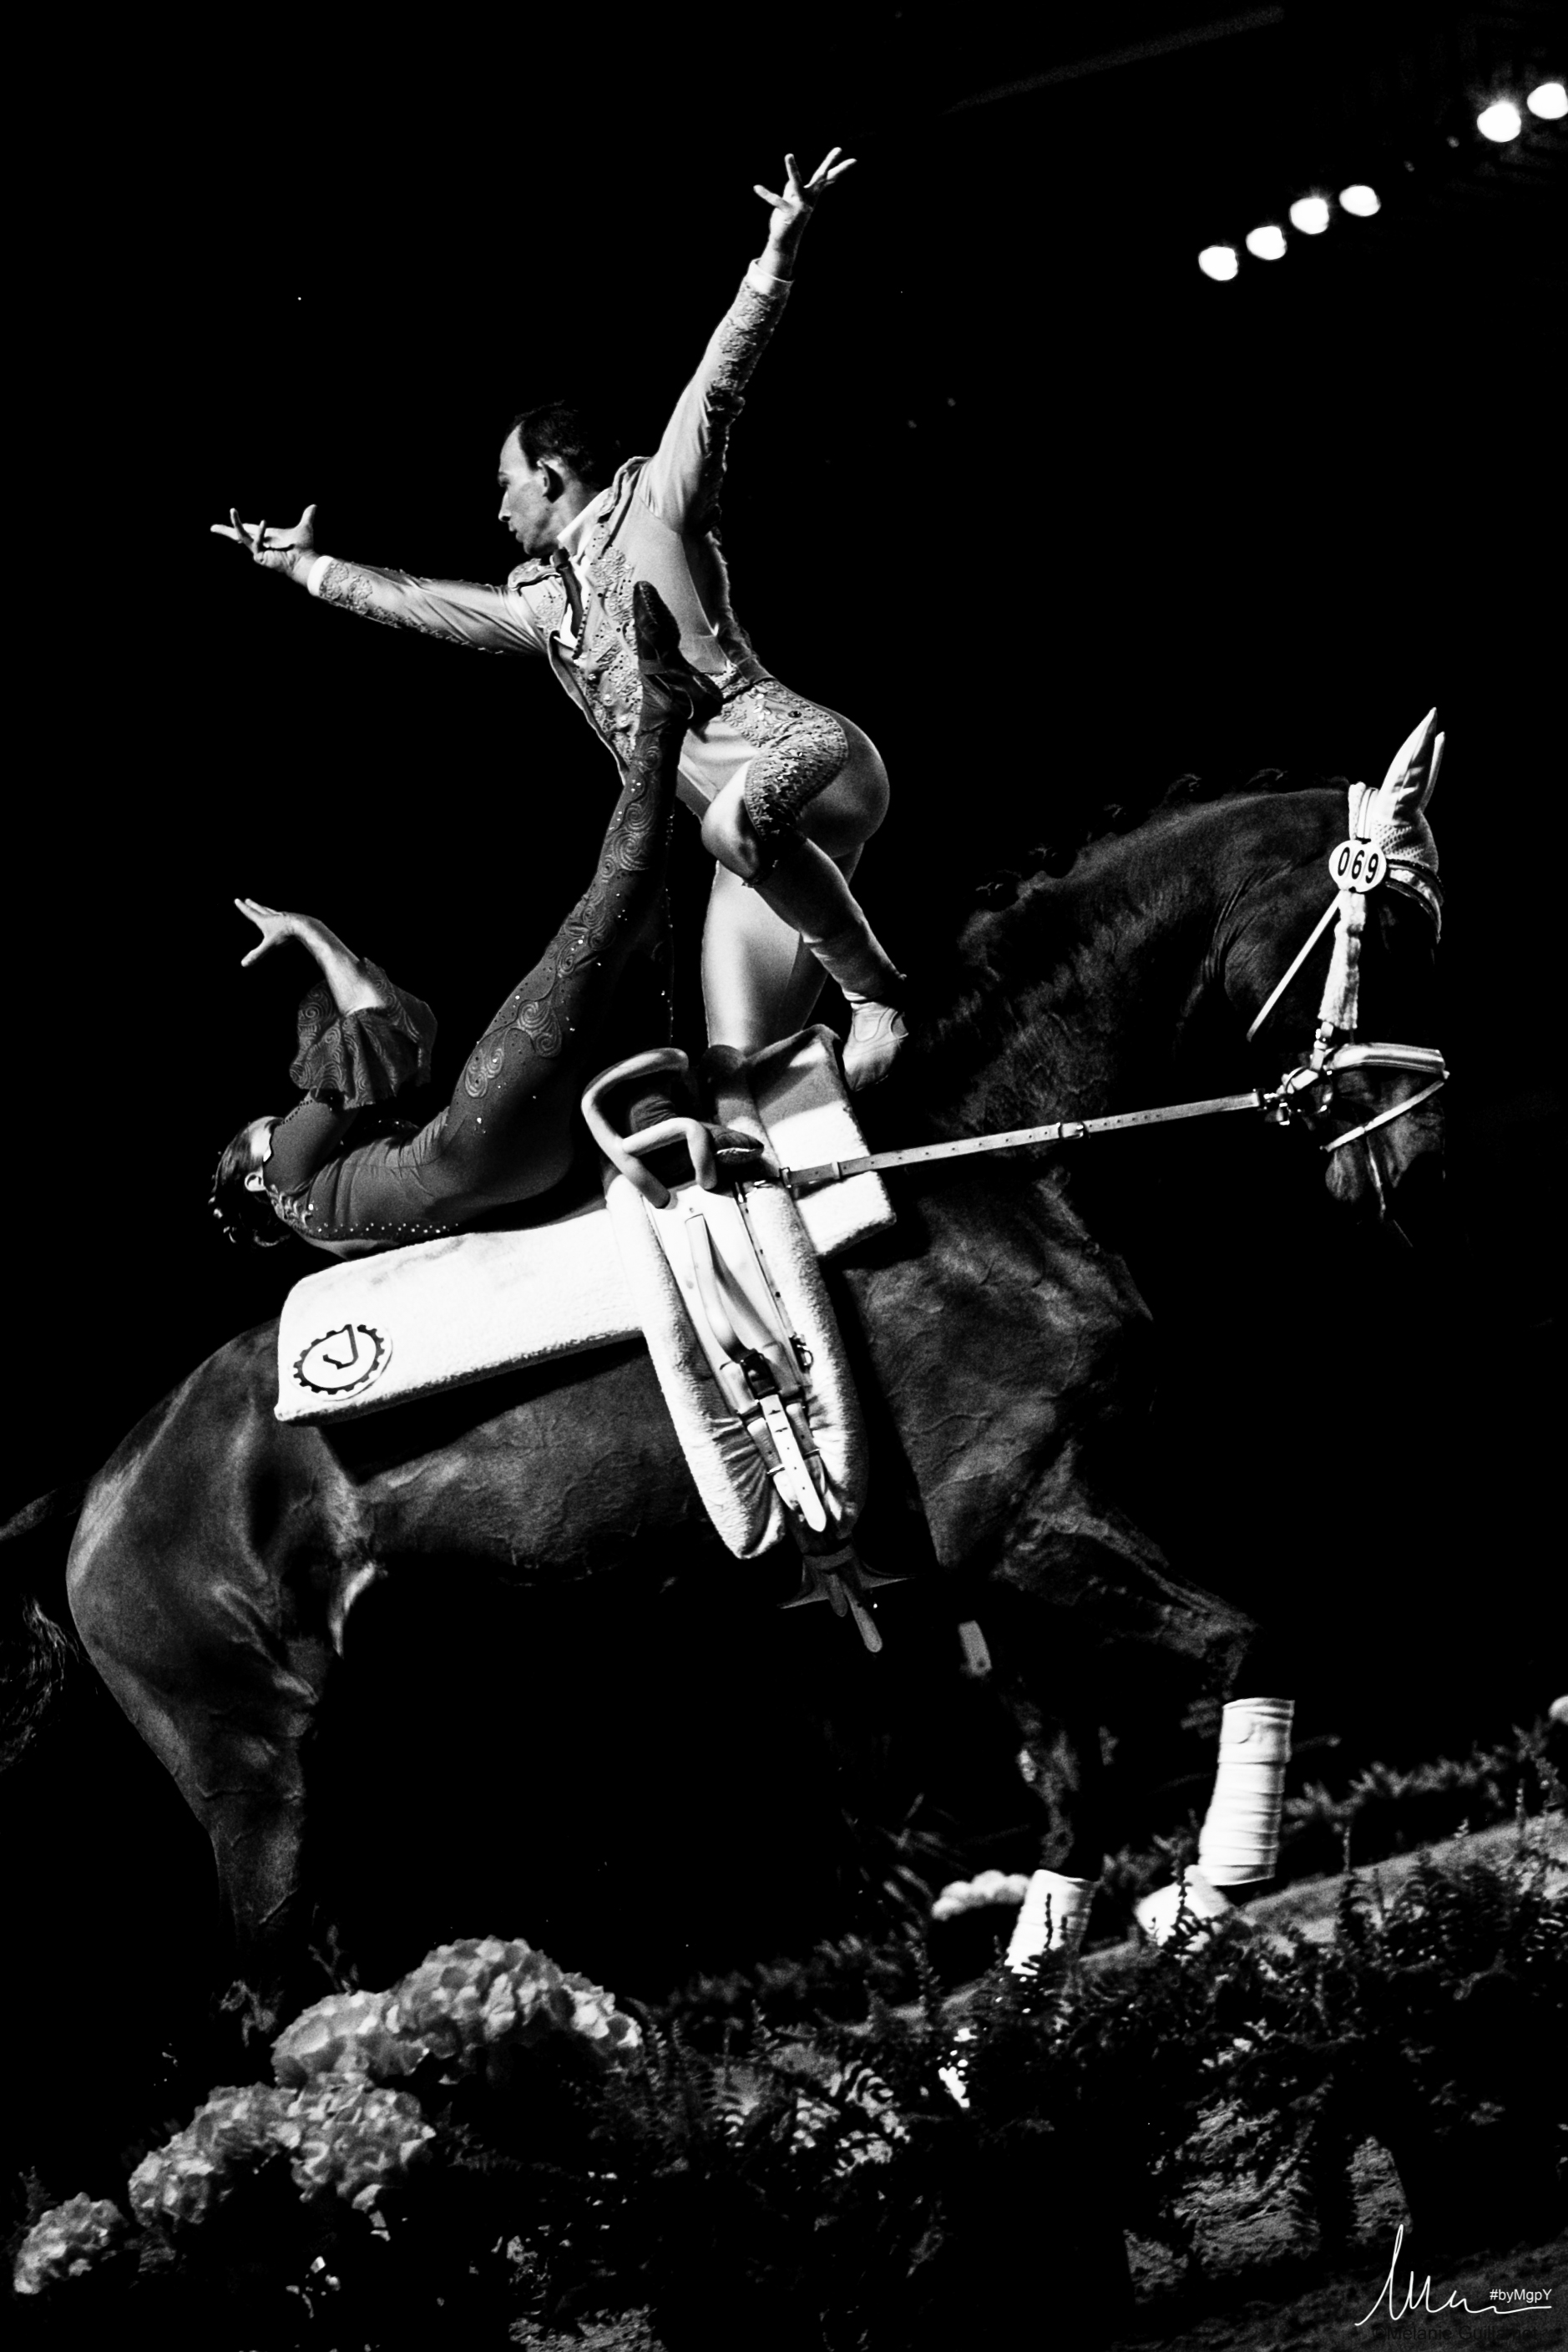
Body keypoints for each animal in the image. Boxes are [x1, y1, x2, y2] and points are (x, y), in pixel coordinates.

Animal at [2, 716, 1446, 2016]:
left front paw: (1026, 1995)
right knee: (273, 1981)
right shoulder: (1030, 1517)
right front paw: (1203, 1889)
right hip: (253, 1760)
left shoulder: (983, 1559)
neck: (978, 1169)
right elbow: (1247, 1640)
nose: (1409, 1158)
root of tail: (99, 1488)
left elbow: (1064, 1780)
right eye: (1397, 940)